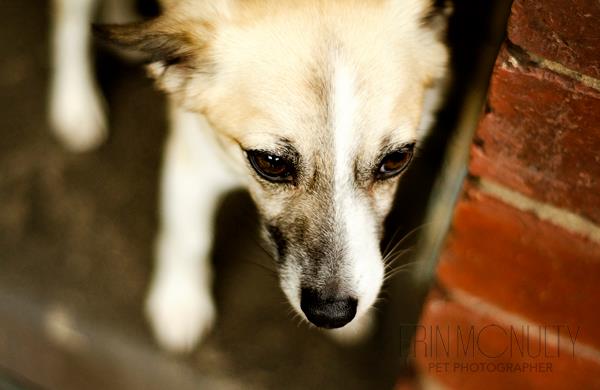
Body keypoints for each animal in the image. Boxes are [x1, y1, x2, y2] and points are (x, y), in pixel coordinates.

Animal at [50, 0, 446, 354]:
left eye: (396, 159)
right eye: (270, 163)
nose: (332, 313)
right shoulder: (194, 157)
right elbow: (188, 238)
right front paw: (181, 301)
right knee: (69, 20)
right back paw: (76, 106)